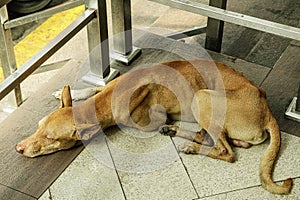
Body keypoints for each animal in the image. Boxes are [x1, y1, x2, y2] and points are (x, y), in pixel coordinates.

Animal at [14, 59, 292, 195]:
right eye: (37, 128)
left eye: (50, 138)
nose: (18, 148)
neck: (113, 95)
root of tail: (267, 108)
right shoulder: (107, 87)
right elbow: (92, 89)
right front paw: (74, 92)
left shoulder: (150, 119)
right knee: (221, 140)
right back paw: (183, 135)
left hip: (201, 96)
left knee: (227, 151)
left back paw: (189, 145)